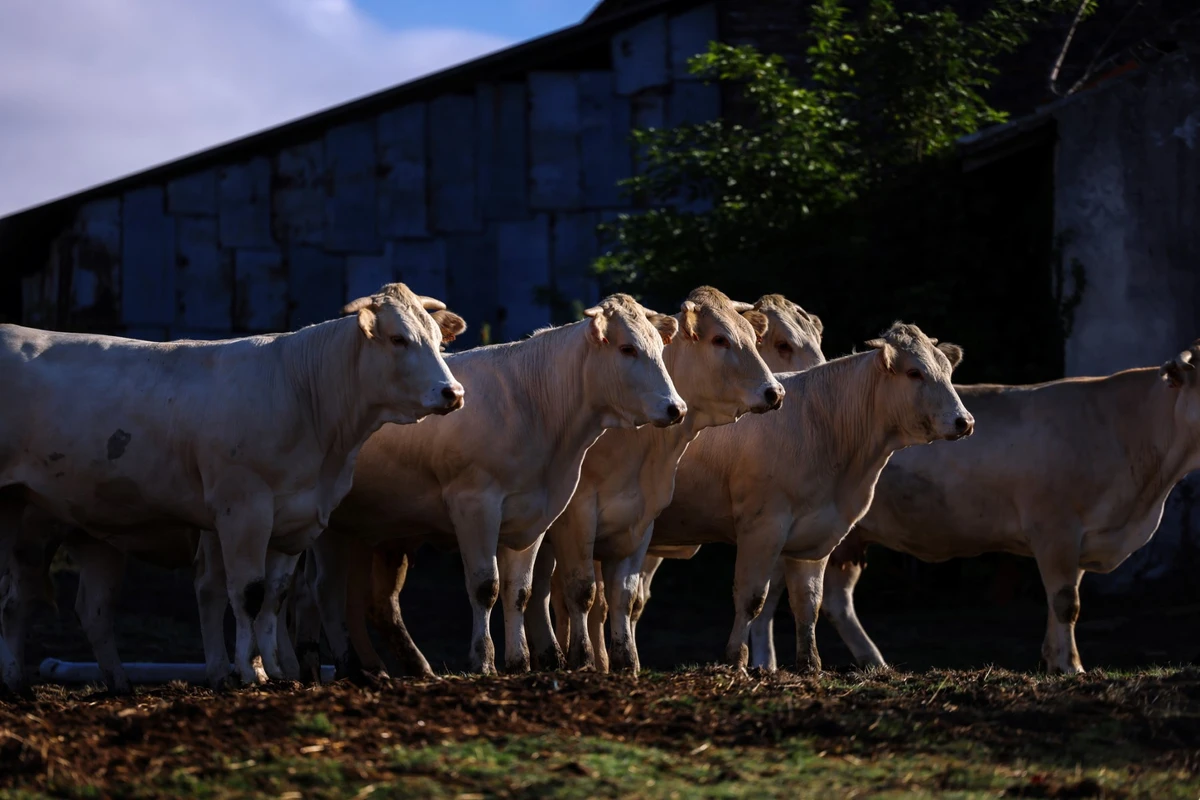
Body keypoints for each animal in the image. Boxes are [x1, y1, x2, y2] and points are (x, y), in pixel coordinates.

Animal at [0, 282, 466, 692]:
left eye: (436, 340)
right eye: (398, 339)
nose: (453, 392)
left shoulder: (296, 521)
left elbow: (275, 597)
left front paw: (276, 672)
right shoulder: (244, 509)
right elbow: (247, 594)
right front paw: (245, 672)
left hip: (90, 531)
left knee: (84, 607)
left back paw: (115, 683)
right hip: (27, 519)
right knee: (16, 600)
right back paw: (14, 680)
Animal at [294, 293, 687, 678]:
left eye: (658, 347)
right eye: (627, 348)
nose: (676, 408)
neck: (534, 407)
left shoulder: (534, 516)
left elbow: (519, 591)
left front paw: (518, 660)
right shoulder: (475, 504)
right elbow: (486, 587)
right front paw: (483, 661)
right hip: (330, 524)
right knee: (325, 590)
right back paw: (344, 666)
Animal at [497, 287, 787, 675]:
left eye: (751, 338)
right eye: (720, 339)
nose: (775, 392)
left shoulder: (640, 519)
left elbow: (623, 597)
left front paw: (622, 661)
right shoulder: (576, 516)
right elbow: (583, 593)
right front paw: (586, 659)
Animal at [645, 322, 973, 671]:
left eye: (947, 371)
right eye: (914, 372)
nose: (964, 421)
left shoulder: (816, 534)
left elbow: (808, 602)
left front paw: (810, 663)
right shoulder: (762, 527)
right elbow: (751, 598)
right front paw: (736, 660)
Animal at [750, 339, 1200, 675]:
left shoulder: (1081, 539)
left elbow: (1062, 603)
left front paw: (1053, 662)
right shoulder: (1055, 528)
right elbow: (1065, 603)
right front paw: (1072, 667)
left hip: (847, 538)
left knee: (836, 601)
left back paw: (875, 663)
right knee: (772, 595)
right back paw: (763, 664)